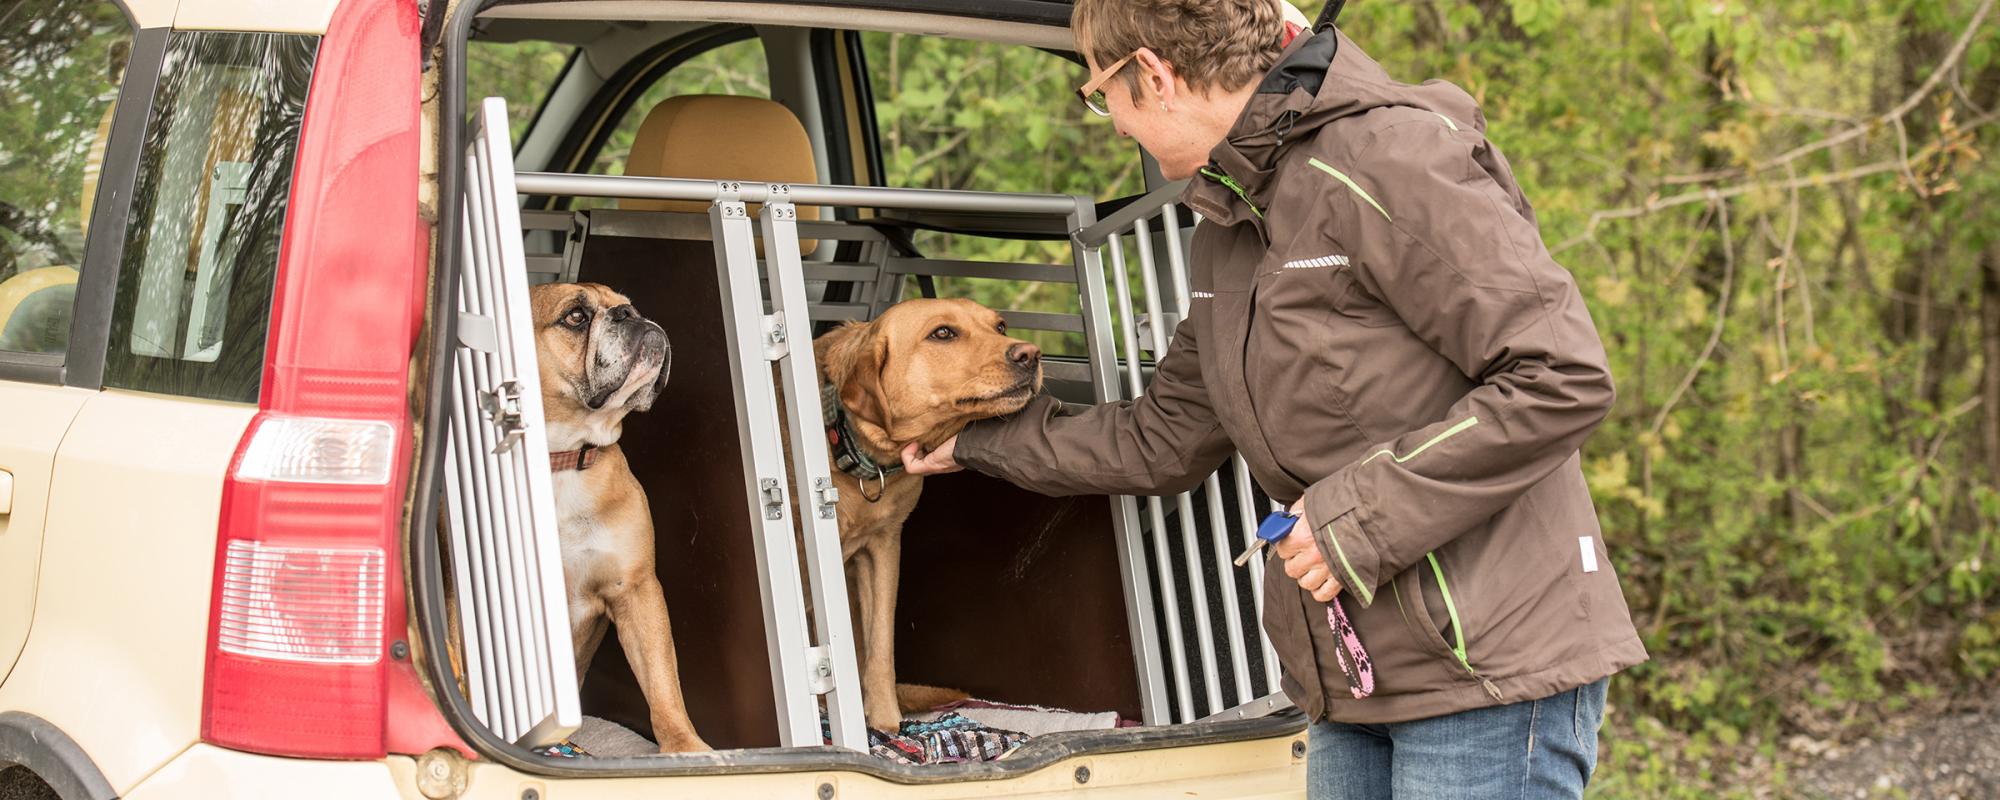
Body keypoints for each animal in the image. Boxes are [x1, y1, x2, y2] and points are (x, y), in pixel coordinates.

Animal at [536, 280, 708, 752]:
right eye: (575, 316)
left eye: (627, 303)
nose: (631, 315)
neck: (562, 460)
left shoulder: (636, 590)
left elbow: (662, 684)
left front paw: (684, 747)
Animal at [812, 296, 1048, 732]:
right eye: (942, 333)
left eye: (1000, 327)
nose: (1030, 354)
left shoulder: (883, 548)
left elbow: (880, 645)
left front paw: (885, 723)